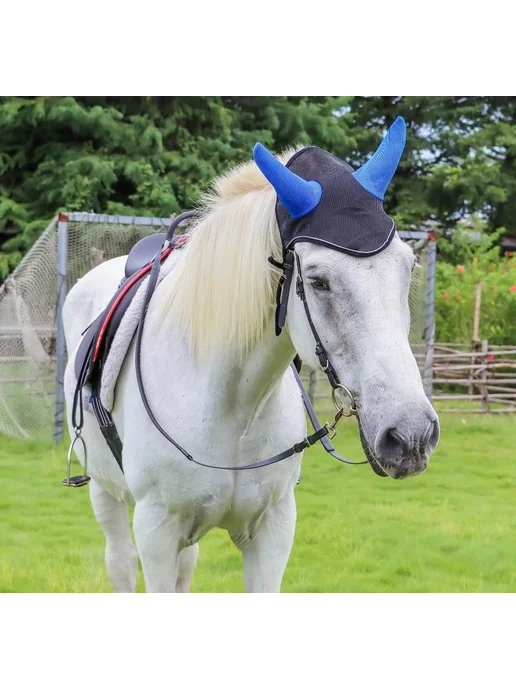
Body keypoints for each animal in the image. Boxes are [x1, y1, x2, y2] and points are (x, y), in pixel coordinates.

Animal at [63, 118, 440, 597]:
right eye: (317, 281)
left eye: (408, 267)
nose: (410, 436)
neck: (231, 406)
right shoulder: (156, 532)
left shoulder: (273, 530)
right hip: (105, 493)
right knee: (121, 565)